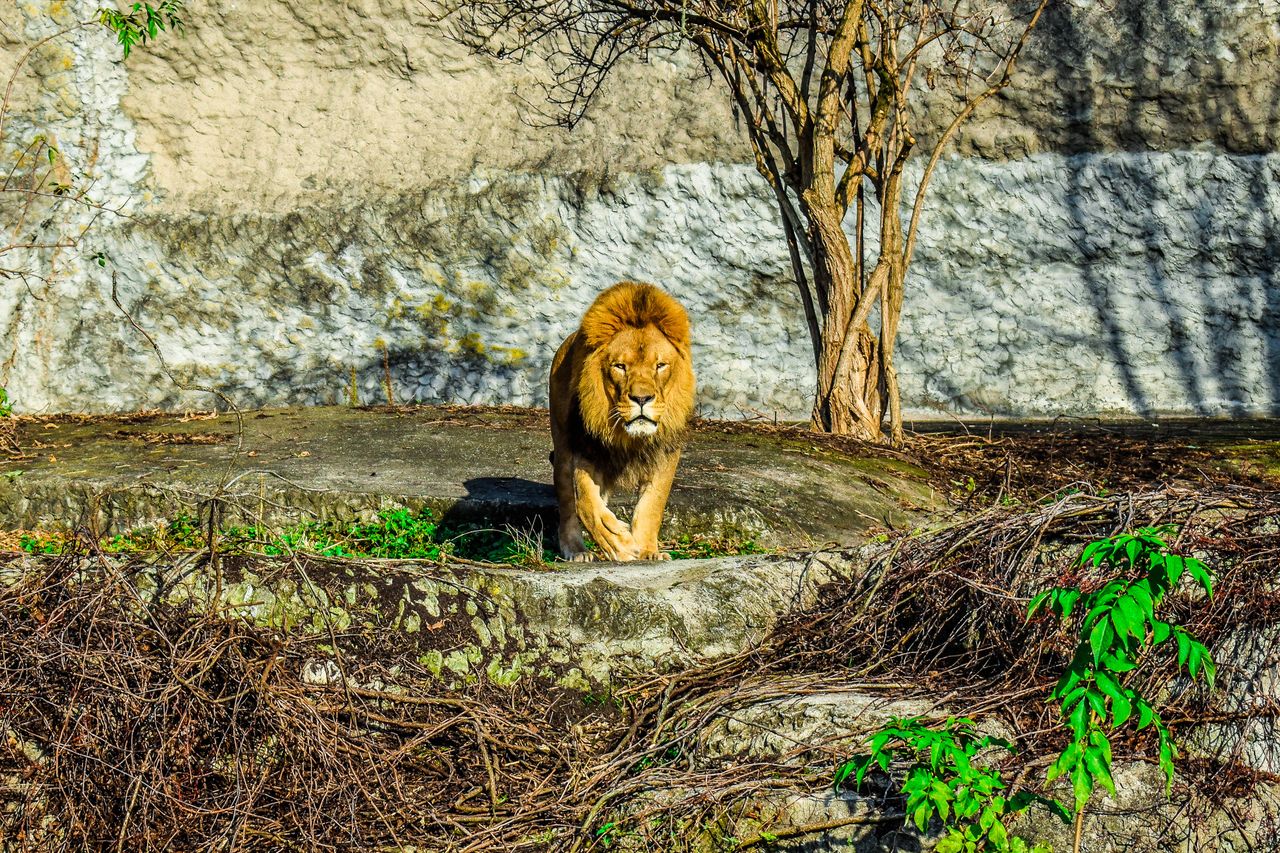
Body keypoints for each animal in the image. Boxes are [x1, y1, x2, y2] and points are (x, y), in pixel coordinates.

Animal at [547, 280, 696, 558]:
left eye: (660, 365)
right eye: (620, 366)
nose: (642, 398)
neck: (629, 438)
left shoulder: (665, 452)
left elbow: (652, 505)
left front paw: (648, 551)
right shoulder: (585, 447)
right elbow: (585, 502)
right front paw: (619, 542)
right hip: (561, 445)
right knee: (567, 502)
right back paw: (578, 550)